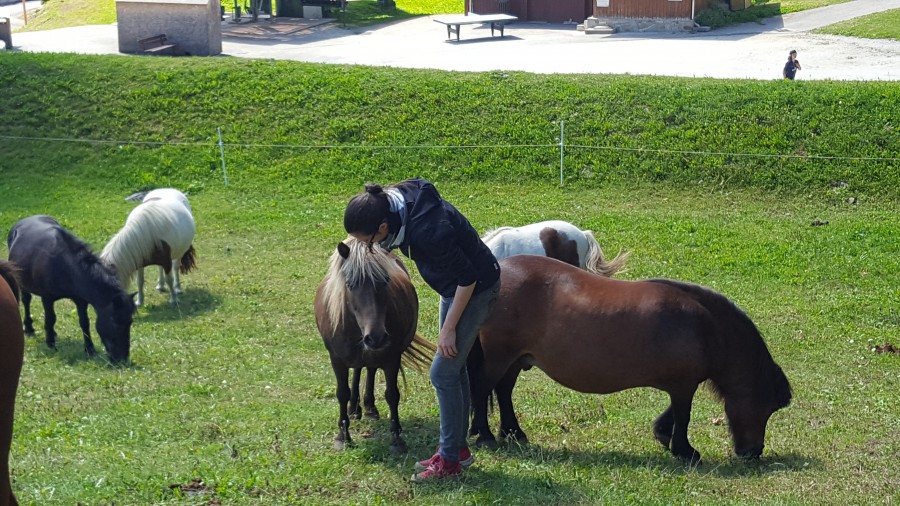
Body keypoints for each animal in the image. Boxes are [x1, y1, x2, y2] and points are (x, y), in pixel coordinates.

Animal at [7, 215, 135, 362]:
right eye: (115, 322)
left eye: (130, 322)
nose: (122, 358)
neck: (64, 265)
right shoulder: (47, 298)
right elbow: (50, 319)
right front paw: (50, 344)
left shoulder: (81, 300)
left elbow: (84, 322)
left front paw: (89, 349)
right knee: (26, 300)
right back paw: (29, 328)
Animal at [312, 239, 436, 452]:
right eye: (350, 284)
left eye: (385, 281)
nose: (376, 337)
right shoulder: (336, 359)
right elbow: (342, 393)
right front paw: (343, 436)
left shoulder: (391, 358)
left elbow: (392, 394)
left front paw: (396, 439)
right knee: (358, 370)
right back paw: (354, 409)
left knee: (368, 370)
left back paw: (369, 408)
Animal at [468, 256, 792, 462]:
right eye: (767, 408)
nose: (753, 452)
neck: (705, 326)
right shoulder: (684, 385)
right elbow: (683, 416)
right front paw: (685, 451)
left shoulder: (681, 384)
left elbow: (672, 415)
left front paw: (664, 438)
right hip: (500, 358)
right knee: (482, 389)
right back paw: (485, 435)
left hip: (515, 359)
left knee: (503, 392)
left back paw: (513, 432)